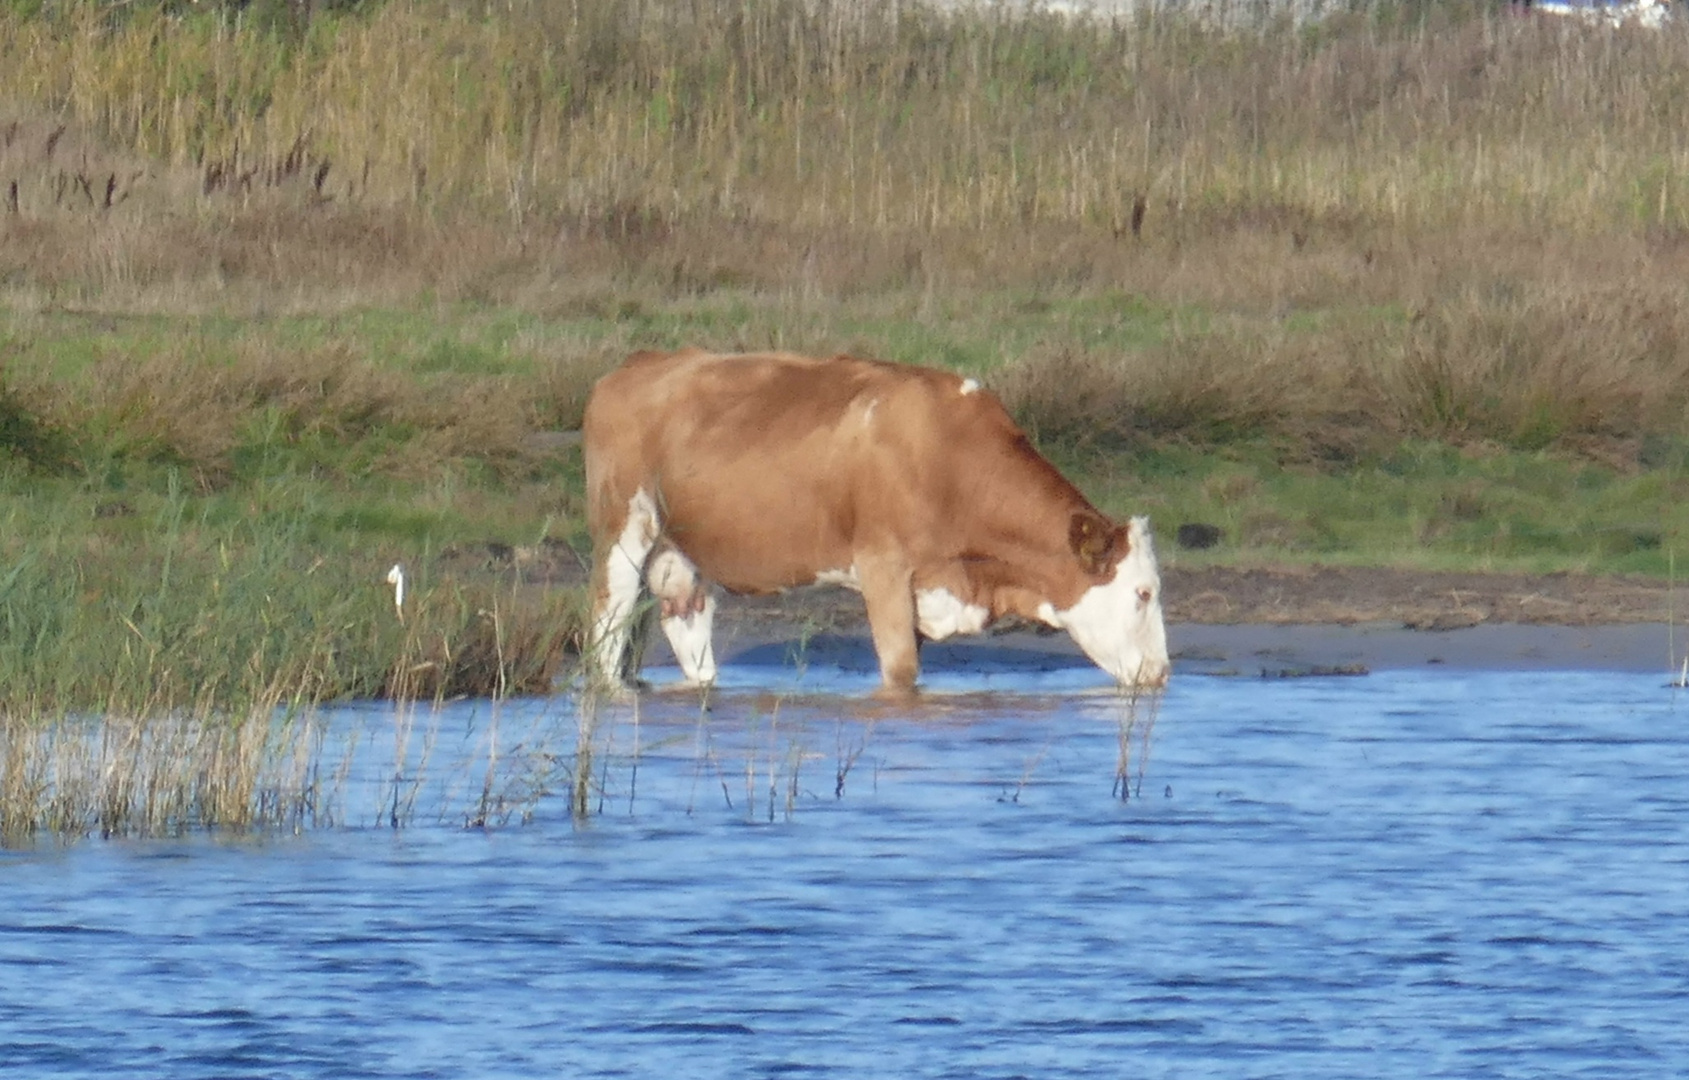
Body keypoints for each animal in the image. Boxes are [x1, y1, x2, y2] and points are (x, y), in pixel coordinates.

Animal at [574, 351, 1168, 696]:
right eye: (1142, 593)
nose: (1162, 673)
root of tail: (634, 365)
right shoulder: (883, 567)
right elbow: (900, 673)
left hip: (681, 558)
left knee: (685, 629)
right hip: (623, 532)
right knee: (606, 634)